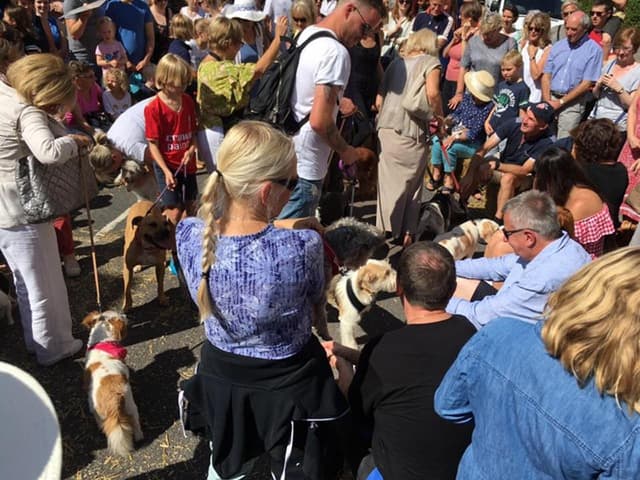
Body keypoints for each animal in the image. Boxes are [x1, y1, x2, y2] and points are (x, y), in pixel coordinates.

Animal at [82, 312, 142, 458]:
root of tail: (112, 400)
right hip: (130, 404)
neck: (102, 342)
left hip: (97, 412)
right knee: (135, 422)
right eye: (121, 317)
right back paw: (139, 436)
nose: (125, 314)